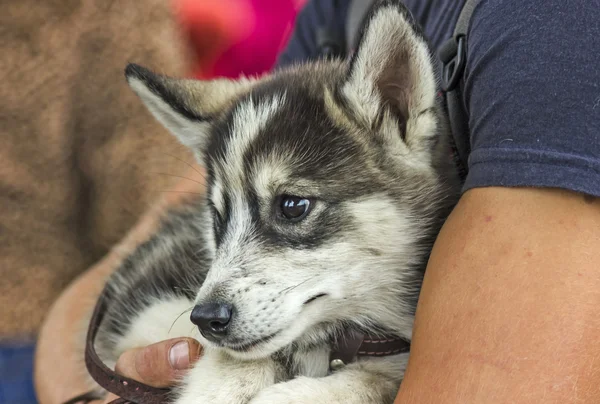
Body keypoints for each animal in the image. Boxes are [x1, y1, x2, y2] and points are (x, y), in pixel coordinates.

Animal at [94, 1, 460, 402]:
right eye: (218, 218)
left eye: (292, 206)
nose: (206, 318)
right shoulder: (141, 305)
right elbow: (236, 357)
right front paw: (221, 383)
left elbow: (369, 381)